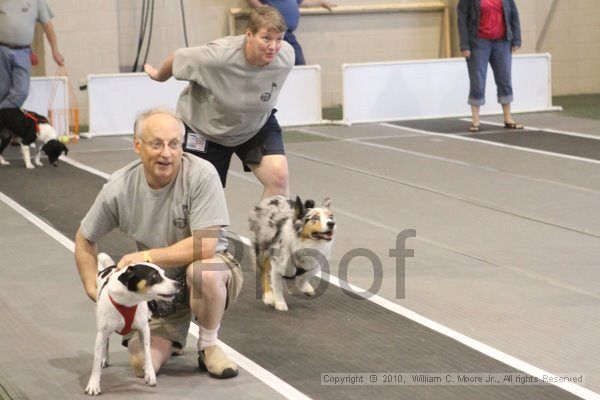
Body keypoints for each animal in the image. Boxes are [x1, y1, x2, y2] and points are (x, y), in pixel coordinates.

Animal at [85, 253, 178, 394]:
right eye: (154, 276)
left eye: (164, 273)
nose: (178, 284)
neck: (128, 301)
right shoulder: (101, 333)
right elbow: (96, 360)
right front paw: (93, 384)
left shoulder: (144, 329)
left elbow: (147, 353)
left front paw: (150, 374)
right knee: (106, 343)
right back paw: (104, 358)